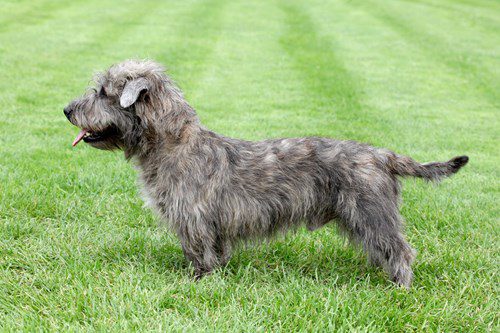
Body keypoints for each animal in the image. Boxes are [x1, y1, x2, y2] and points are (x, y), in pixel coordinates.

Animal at [63, 59, 468, 286]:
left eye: (103, 92)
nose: (67, 110)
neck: (173, 144)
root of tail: (382, 154)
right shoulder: (211, 224)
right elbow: (216, 251)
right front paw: (215, 275)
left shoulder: (193, 219)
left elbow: (198, 253)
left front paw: (197, 283)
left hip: (372, 214)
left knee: (401, 250)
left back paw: (401, 287)